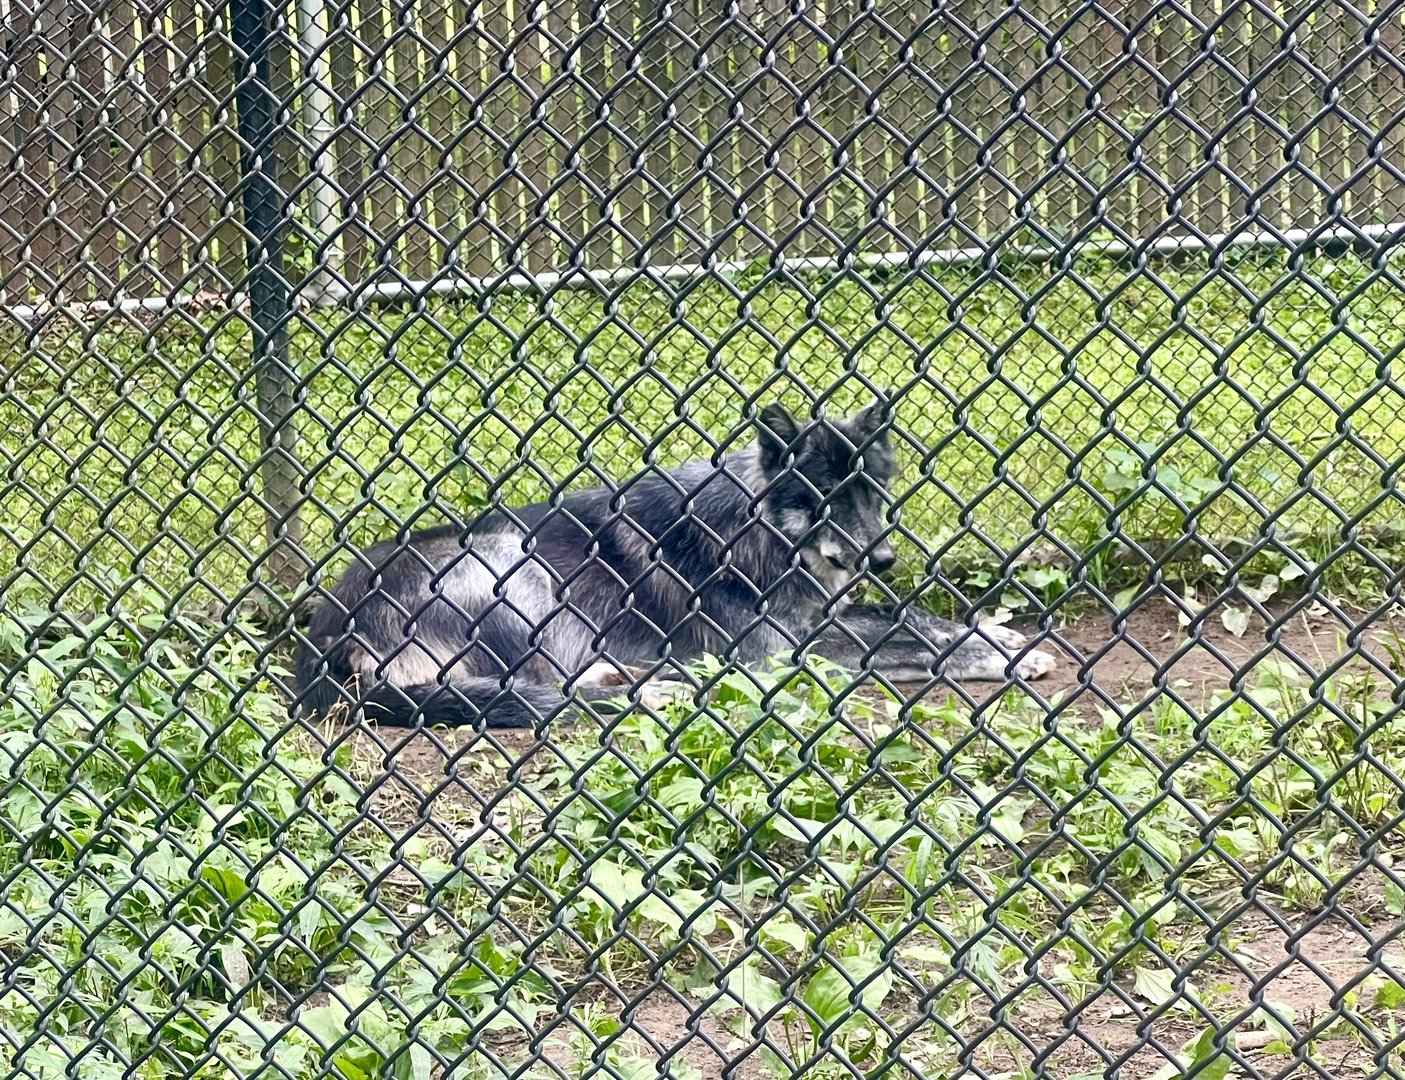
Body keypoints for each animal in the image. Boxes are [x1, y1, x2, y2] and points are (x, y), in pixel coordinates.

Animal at [294, 399, 1056, 727]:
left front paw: (998, 632)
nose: (887, 557)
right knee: (549, 690)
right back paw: (657, 691)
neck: (752, 530)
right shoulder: (781, 647)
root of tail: (325, 640)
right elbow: (907, 638)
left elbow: (912, 617)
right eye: (822, 500)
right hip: (514, 563)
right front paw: (1004, 657)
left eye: (873, 493)